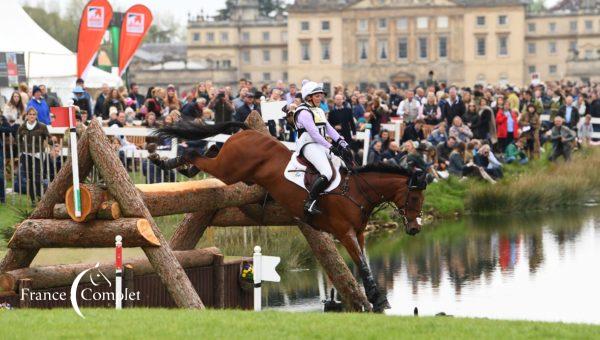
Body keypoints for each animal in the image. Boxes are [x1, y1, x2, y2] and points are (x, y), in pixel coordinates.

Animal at [156, 121, 426, 312]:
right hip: (229, 170)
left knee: (212, 148)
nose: (415, 229)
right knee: (197, 156)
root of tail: (248, 132)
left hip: (232, 168)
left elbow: (365, 263)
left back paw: (185, 164)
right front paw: (377, 300)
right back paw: (167, 161)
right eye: (414, 199)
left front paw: (375, 297)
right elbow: (361, 262)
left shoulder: (358, 233)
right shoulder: (344, 232)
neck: (358, 191)